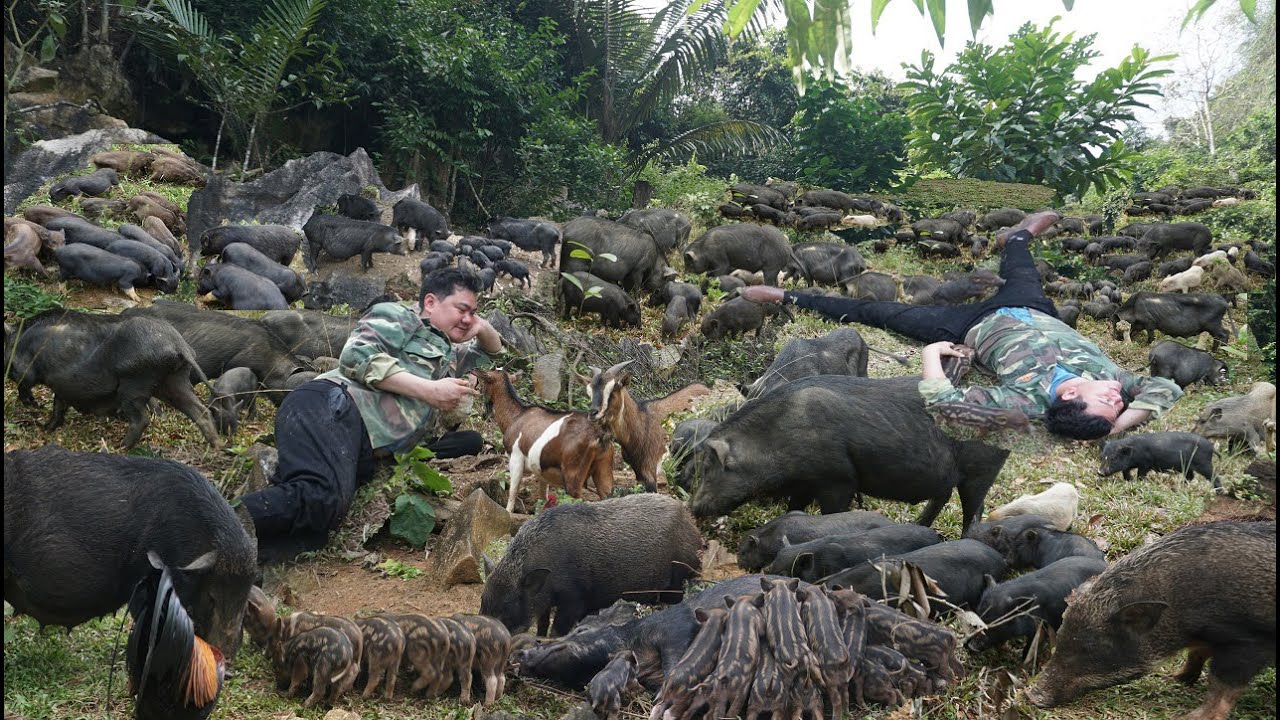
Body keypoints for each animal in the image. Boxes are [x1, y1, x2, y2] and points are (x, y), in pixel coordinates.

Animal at [5, 310, 220, 448]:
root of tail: (179, 346)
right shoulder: (62, 387)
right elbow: (58, 406)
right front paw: (46, 428)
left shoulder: (26, 370)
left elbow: (26, 385)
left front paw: (34, 406)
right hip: (174, 381)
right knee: (200, 411)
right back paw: (216, 446)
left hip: (135, 384)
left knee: (142, 419)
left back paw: (119, 447)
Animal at [480, 493, 702, 636]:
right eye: (483, 599)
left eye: (509, 604)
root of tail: (693, 526)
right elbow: (542, 624)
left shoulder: (574, 599)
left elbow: (556, 630)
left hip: (678, 578)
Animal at [687, 376, 1009, 533]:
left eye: (709, 469)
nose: (693, 507)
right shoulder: (805, 483)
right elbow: (794, 506)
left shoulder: (837, 480)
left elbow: (832, 511)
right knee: (942, 497)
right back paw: (917, 527)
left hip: (981, 473)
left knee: (973, 511)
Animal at [1028, 521, 1276, 719]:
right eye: (1061, 635)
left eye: (1093, 647)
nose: (1032, 696)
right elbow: (1196, 654)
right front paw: (1172, 680)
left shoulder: (1249, 643)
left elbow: (1222, 685)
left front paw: (1189, 717)